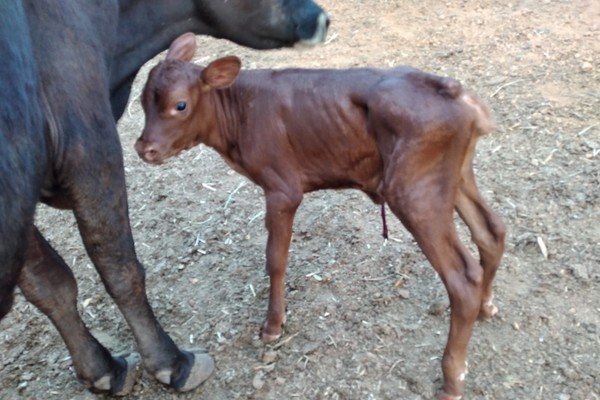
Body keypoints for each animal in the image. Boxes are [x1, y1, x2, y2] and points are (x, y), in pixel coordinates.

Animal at [0, 0, 328, 394]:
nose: (321, 19)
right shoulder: (90, 148)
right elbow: (120, 269)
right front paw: (171, 363)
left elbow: (49, 284)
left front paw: (101, 369)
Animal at [136, 34, 506, 400]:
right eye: (142, 101)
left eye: (180, 105)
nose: (144, 149)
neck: (239, 111)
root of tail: (455, 91)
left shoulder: (282, 189)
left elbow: (275, 259)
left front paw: (273, 325)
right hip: (455, 176)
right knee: (491, 231)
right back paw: (486, 306)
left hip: (413, 190)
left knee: (462, 278)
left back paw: (452, 381)